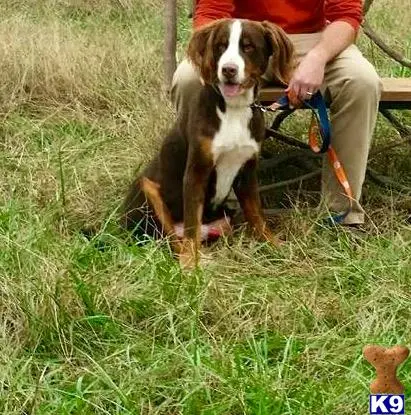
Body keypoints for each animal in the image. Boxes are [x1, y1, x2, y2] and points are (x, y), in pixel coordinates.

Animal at [120, 17, 294, 268]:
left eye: (248, 47)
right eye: (221, 46)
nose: (228, 70)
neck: (233, 109)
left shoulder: (247, 171)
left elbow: (256, 213)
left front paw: (272, 244)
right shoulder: (196, 172)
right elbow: (192, 221)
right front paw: (190, 264)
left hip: (224, 217)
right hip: (148, 188)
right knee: (172, 238)